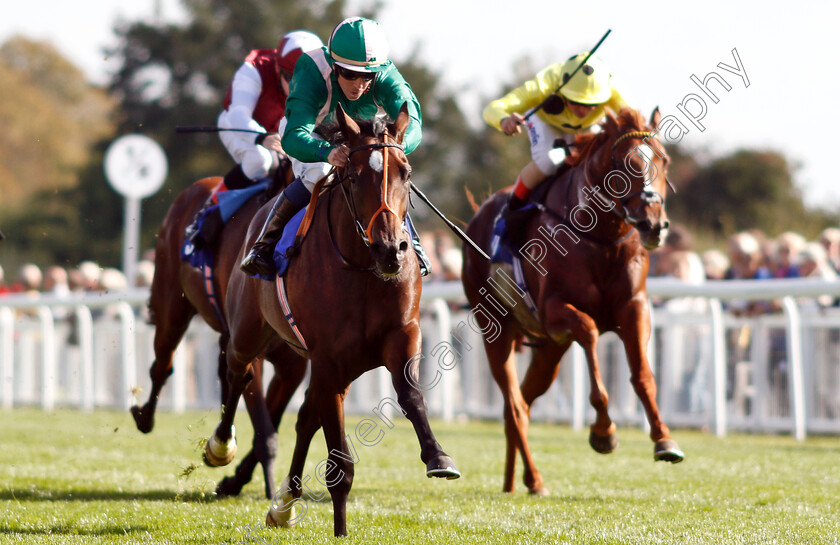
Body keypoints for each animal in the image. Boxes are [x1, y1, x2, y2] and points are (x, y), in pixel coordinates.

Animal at [133, 168, 310, 500]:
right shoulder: (251, 350)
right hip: (171, 305)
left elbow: (270, 422)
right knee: (162, 364)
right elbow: (265, 430)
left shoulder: (293, 365)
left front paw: (234, 479)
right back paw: (144, 416)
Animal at [204, 103, 462, 536]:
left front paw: (438, 456)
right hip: (249, 331)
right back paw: (221, 447)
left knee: (305, 416)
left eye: (405, 173)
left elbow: (410, 394)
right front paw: (340, 530)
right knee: (238, 371)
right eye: (355, 177)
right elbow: (339, 463)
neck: (363, 269)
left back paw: (284, 504)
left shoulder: (401, 334)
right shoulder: (328, 359)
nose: (391, 249)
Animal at [462, 108, 684, 496]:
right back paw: (535, 478)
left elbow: (643, 374)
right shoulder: (554, 312)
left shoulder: (635, 307)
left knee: (520, 403)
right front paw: (604, 432)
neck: (599, 238)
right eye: (625, 163)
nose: (654, 225)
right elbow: (591, 332)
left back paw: (514, 480)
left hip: (549, 352)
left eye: (664, 159)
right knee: (515, 405)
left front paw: (664, 440)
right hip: (496, 330)